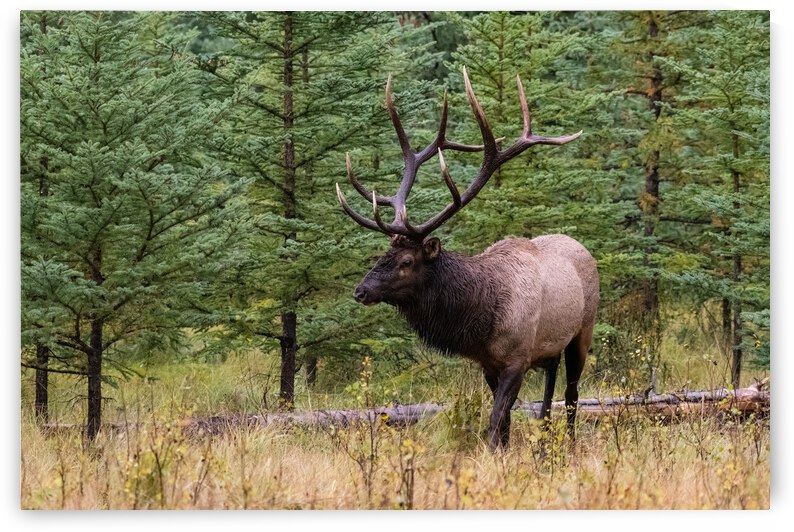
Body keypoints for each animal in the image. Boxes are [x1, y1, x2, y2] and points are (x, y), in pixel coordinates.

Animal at [335, 68, 599, 451]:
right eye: (385, 253)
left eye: (406, 261)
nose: (361, 291)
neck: (481, 320)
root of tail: (581, 246)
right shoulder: (489, 364)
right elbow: (504, 421)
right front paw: (504, 452)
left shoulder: (517, 359)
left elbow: (495, 419)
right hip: (550, 347)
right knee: (550, 393)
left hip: (584, 329)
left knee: (572, 393)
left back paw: (569, 443)